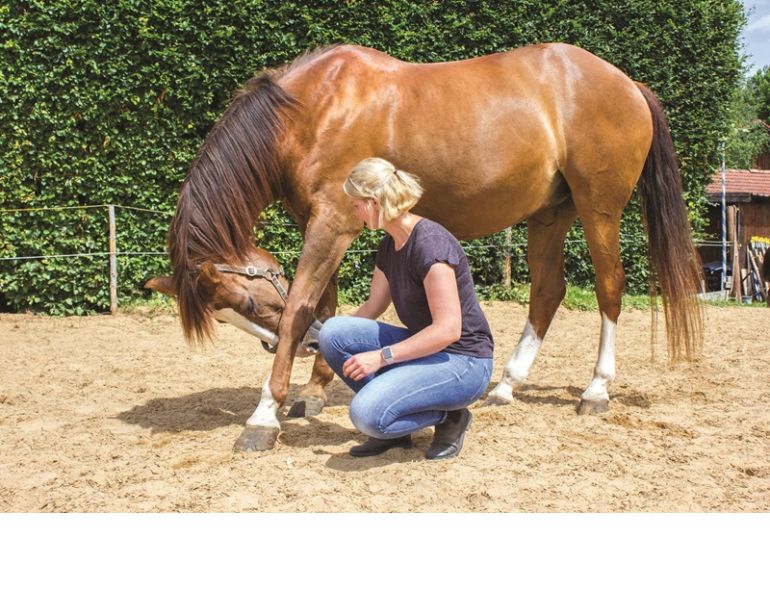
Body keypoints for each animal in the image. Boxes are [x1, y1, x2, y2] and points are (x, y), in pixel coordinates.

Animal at [147, 43, 704, 451]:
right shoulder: (321, 223)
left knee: (610, 287)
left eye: (247, 302)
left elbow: (301, 308)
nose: (304, 352)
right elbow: (326, 305)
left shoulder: (331, 224)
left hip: (598, 209)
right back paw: (506, 385)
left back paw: (596, 390)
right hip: (550, 215)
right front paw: (313, 392)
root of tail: (627, 83)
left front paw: (266, 414)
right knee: (548, 291)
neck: (314, 108)